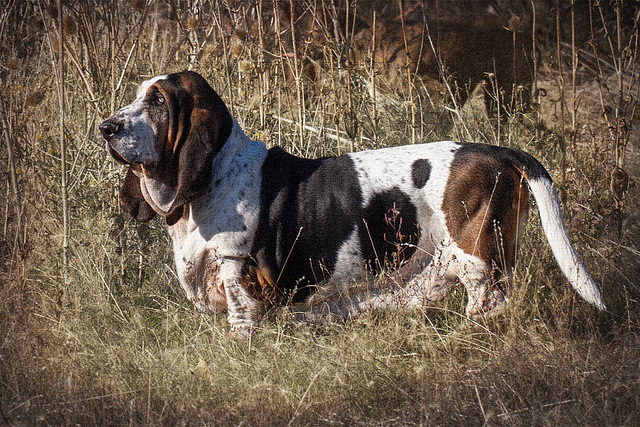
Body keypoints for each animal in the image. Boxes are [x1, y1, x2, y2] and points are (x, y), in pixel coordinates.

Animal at [100, 72, 604, 336]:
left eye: (158, 102)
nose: (106, 127)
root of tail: (500, 152)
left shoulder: (240, 283)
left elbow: (242, 326)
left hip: (478, 258)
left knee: (489, 301)